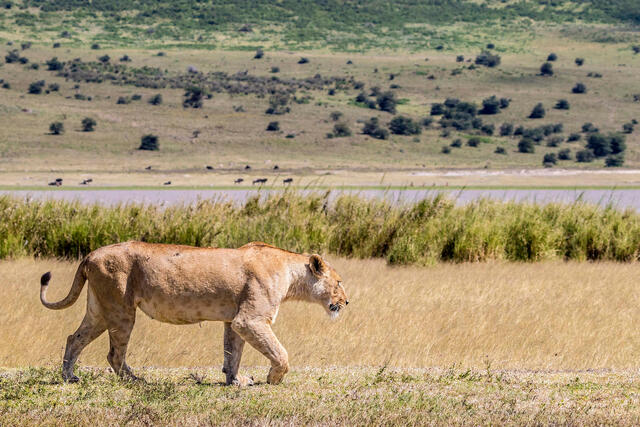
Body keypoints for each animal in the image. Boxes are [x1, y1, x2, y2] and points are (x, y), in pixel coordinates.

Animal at [39, 241, 348, 385]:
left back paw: (69, 377)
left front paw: (235, 381)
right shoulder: (250, 319)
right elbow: (279, 352)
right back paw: (136, 381)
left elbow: (232, 353)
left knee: (74, 338)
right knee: (114, 353)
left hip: (99, 311)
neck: (291, 273)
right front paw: (273, 378)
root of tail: (90, 255)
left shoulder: (234, 320)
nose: (346, 302)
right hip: (120, 310)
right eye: (339, 281)